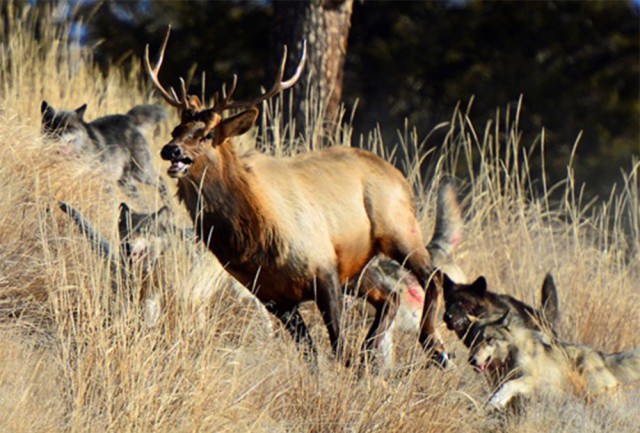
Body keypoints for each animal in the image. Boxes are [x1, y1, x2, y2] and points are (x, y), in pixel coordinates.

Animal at [41, 100, 171, 205]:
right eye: (51, 126)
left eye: (69, 127)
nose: (56, 137)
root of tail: (128, 118)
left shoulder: (105, 184)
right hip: (126, 184)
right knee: (144, 202)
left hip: (141, 173)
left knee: (162, 181)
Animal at [144, 26, 450, 364]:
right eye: (175, 130)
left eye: (207, 134)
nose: (171, 150)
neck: (254, 242)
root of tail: (401, 178)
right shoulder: (273, 297)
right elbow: (311, 355)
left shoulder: (323, 268)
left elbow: (337, 347)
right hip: (357, 264)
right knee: (390, 296)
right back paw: (370, 351)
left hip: (397, 226)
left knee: (433, 275)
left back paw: (435, 347)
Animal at [464, 310, 640, 408]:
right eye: (474, 340)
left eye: (488, 339)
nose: (471, 361)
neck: (510, 355)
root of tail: (601, 357)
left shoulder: (531, 379)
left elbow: (508, 386)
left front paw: (495, 402)